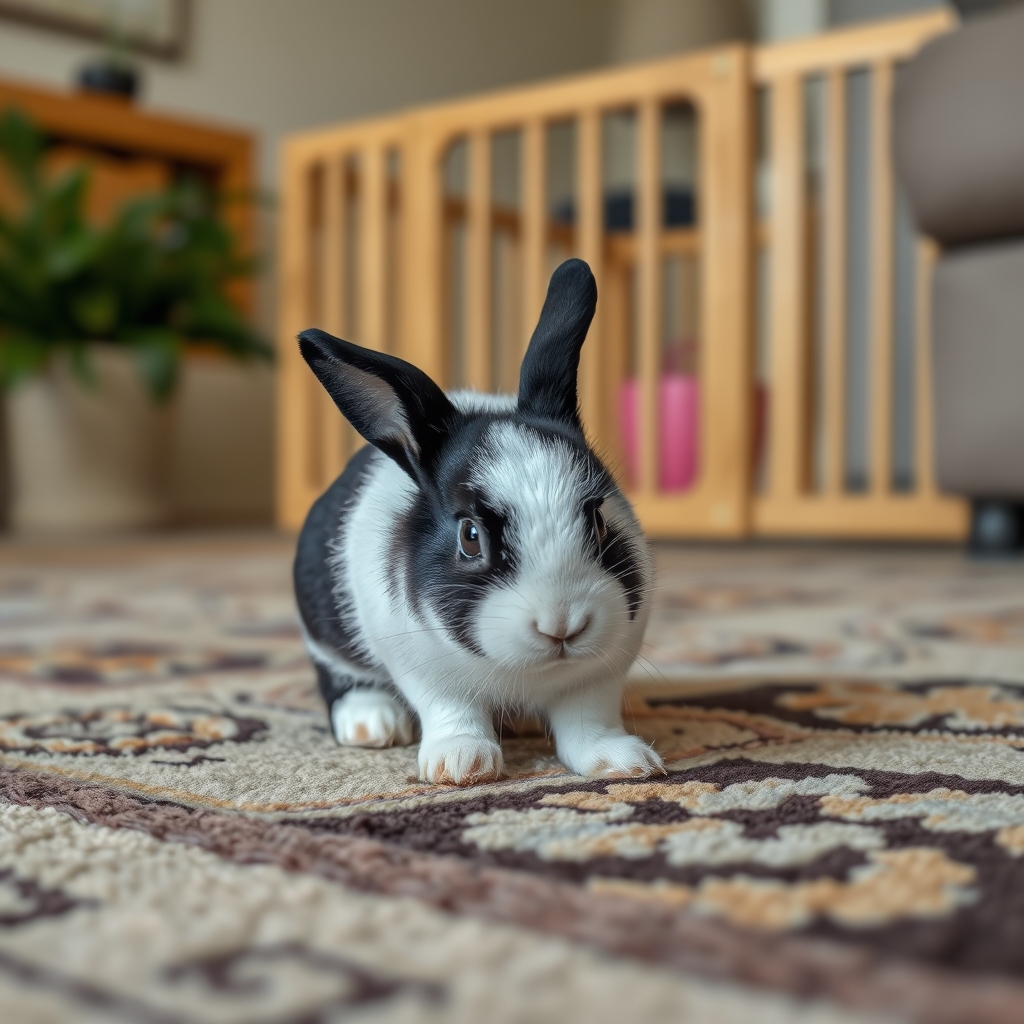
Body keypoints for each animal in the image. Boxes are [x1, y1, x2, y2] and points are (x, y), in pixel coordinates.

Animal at [294, 257, 663, 785]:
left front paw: (624, 762)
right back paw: (373, 724)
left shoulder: (598, 676)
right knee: (340, 679)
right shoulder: (427, 671)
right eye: (470, 537)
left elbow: (587, 720)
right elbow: (453, 709)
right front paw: (462, 765)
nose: (562, 625)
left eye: (597, 519)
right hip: (326, 634)